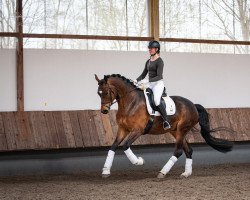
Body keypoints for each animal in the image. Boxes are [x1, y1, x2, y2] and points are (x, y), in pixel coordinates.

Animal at [94, 73, 233, 178]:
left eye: (106, 92)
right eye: (98, 93)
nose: (104, 111)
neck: (130, 103)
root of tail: (193, 105)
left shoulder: (137, 130)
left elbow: (125, 145)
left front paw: (139, 161)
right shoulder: (122, 129)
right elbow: (113, 147)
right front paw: (106, 170)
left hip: (182, 129)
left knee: (178, 151)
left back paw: (163, 172)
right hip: (175, 131)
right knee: (188, 150)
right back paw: (186, 173)